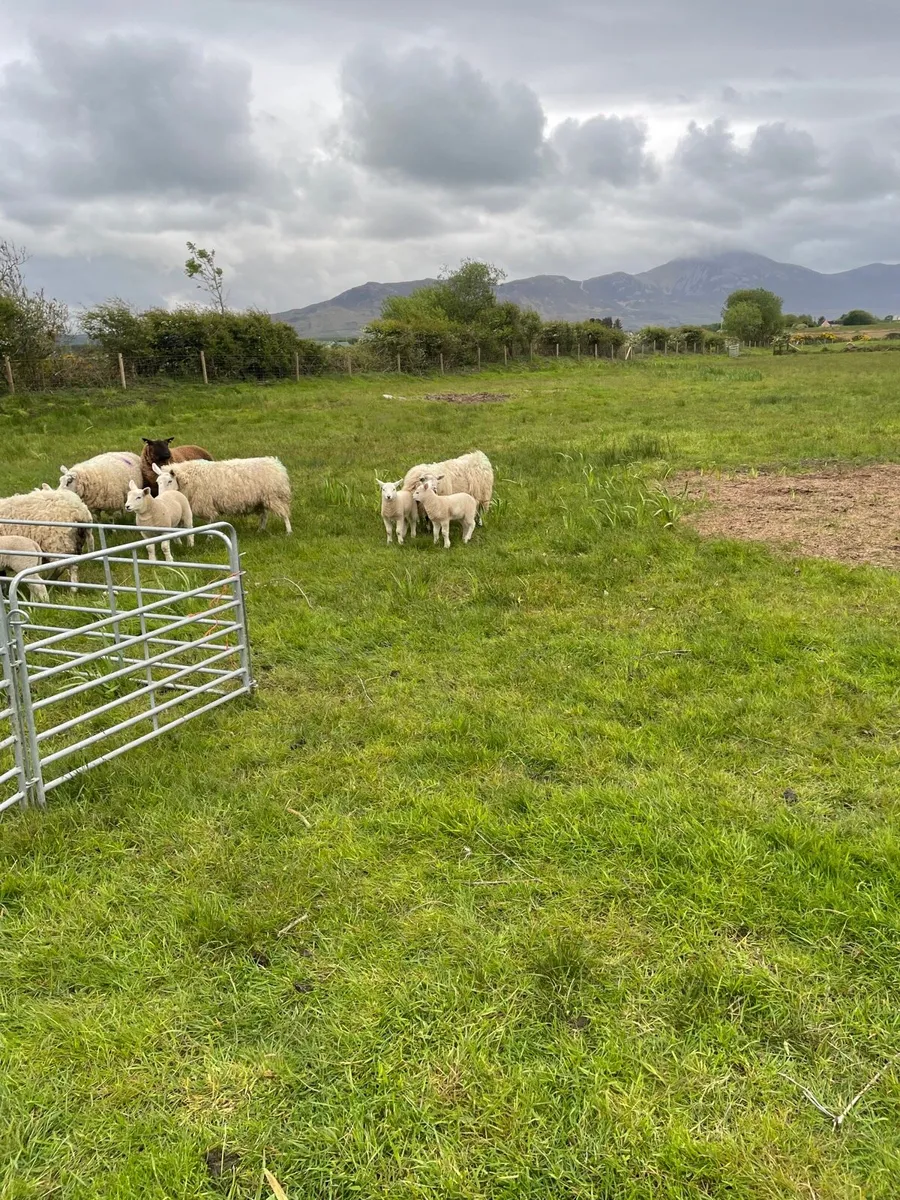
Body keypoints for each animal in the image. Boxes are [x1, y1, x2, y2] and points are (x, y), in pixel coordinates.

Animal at [152, 457, 292, 534]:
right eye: (157, 482)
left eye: (170, 481)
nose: (161, 498)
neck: (189, 478)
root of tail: (275, 464)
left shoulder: (206, 504)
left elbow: (209, 522)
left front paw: (209, 538)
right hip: (262, 499)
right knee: (264, 515)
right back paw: (260, 530)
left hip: (275, 496)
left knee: (284, 515)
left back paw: (288, 532)